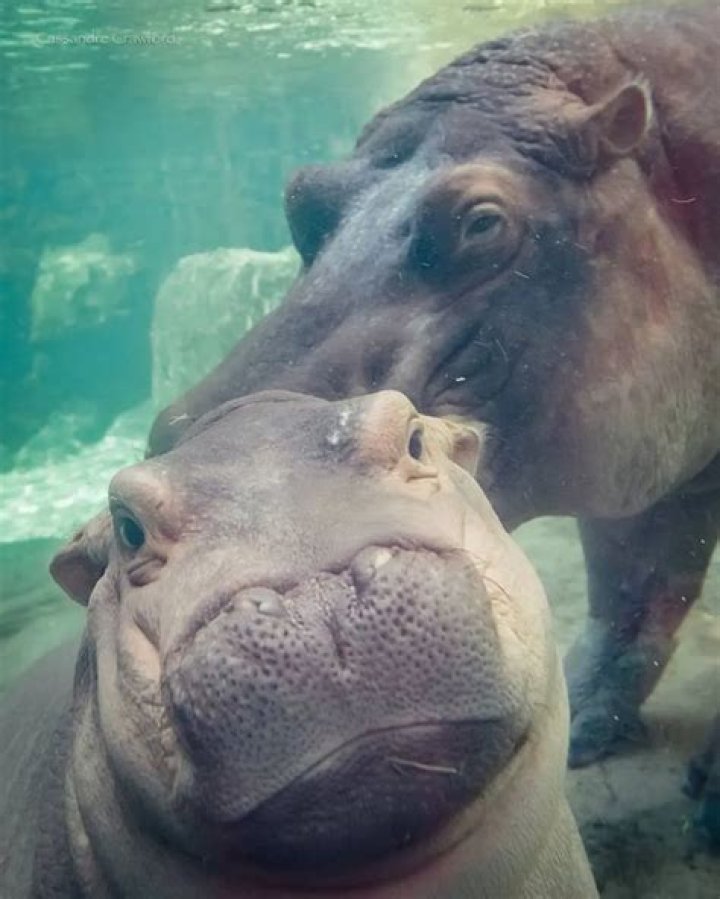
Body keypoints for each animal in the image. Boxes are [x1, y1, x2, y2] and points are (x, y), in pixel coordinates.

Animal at [148, 3, 720, 776]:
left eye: (481, 223)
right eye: (301, 195)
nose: (211, 461)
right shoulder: (648, 451)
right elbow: (630, 582)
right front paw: (580, 726)